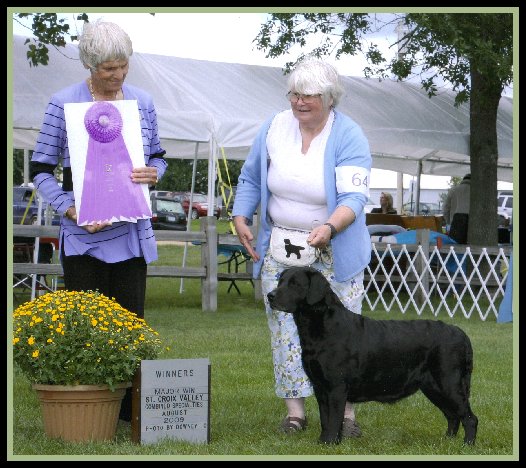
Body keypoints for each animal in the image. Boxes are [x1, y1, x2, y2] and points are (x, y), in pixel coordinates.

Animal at [268, 266, 478, 444]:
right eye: (280, 281)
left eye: (295, 284)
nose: (270, 296)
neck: (322, 328)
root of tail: (461, 333)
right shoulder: (320, 387)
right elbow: (325, 419)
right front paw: (322, 442)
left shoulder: (336, 387)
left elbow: (334, 419)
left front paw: (330, 444)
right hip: (433, 387)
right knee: (452, 415)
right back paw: (447, 441)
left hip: (449, 382)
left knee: (469, 418)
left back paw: (466, 445)